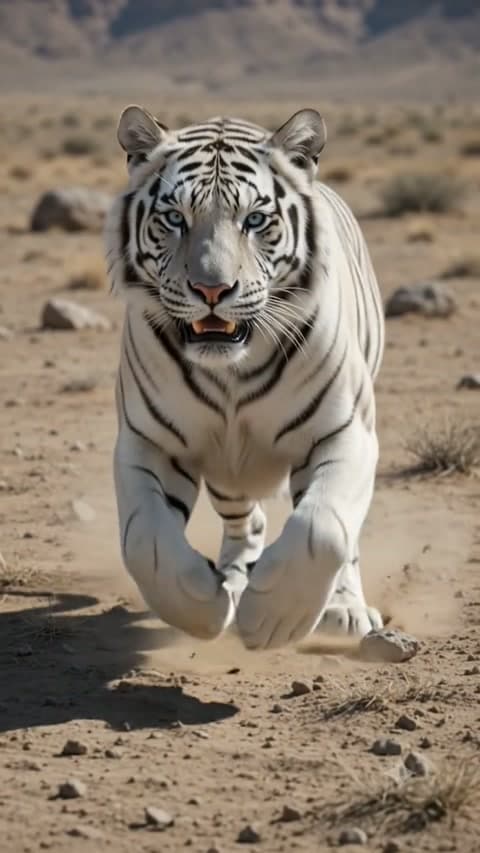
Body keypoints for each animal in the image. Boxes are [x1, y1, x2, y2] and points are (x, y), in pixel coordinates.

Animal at [105, 104, 385, 651]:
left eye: (255, 220)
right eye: (175, 217)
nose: (212, 289)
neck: (230, 373)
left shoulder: (346, 432)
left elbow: (324, 529)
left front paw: (274, 619)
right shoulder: (148, 441)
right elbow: (144, 542)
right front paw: (202, 606)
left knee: (346, 537)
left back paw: (343, 609)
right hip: (228, 469)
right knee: (247, 521)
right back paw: (234, 579)